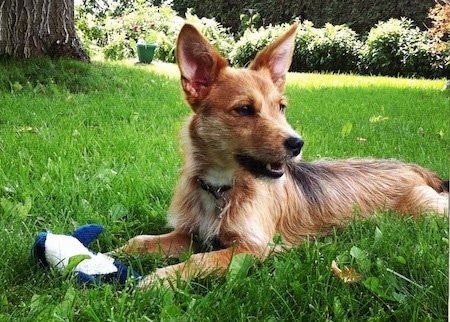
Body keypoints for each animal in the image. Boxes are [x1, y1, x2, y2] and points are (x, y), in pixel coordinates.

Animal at [118, 23, 448, 290]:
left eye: (281, 107)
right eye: (244, 109)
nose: (297, 144)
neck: (222, 189)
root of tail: (415, 168)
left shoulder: (256, 248)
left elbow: (201, 260)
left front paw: (160, 279)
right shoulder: (188, 233)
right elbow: (138, 242)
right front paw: (110, 255)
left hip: (429, 209)